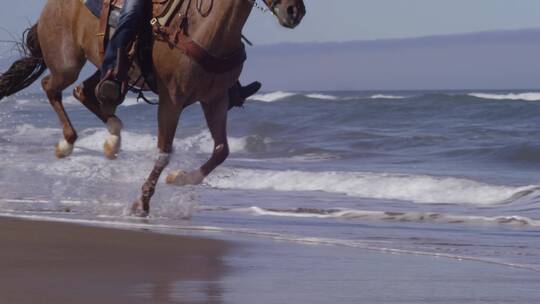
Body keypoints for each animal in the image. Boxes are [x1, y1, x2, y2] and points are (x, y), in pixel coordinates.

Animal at [0, 0, 304, 215]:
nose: (295, 11)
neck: (207, 28)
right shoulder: (172, 100)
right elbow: (164, 152)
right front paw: (142, 202)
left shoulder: (214, 100)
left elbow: (221, 151)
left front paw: (179, 178)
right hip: (67, 63)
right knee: (51, 87)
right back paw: (67, 143)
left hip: (108, 67)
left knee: (87, 92)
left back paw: (113, 140)